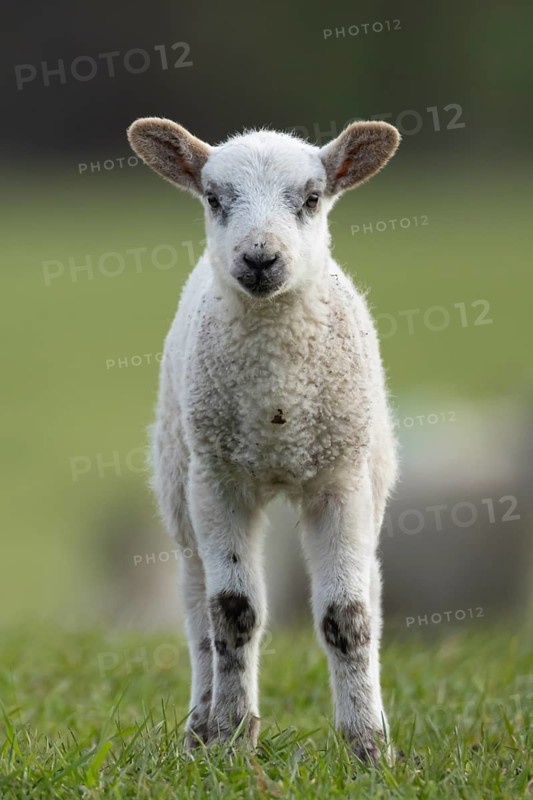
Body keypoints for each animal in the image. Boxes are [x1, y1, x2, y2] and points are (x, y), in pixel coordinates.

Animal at [127, 116, 401, 762]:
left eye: (312, 198)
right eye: (212, 198)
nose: (259, 257)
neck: (279, 404)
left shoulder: (339, 478)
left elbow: (347, 615)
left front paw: (367, 749)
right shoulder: (219, 480)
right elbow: (233, 614)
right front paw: (231, 740)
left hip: (371, 468)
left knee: (369, 590)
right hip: (179, 474)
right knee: (197, 599)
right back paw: (200, 727)